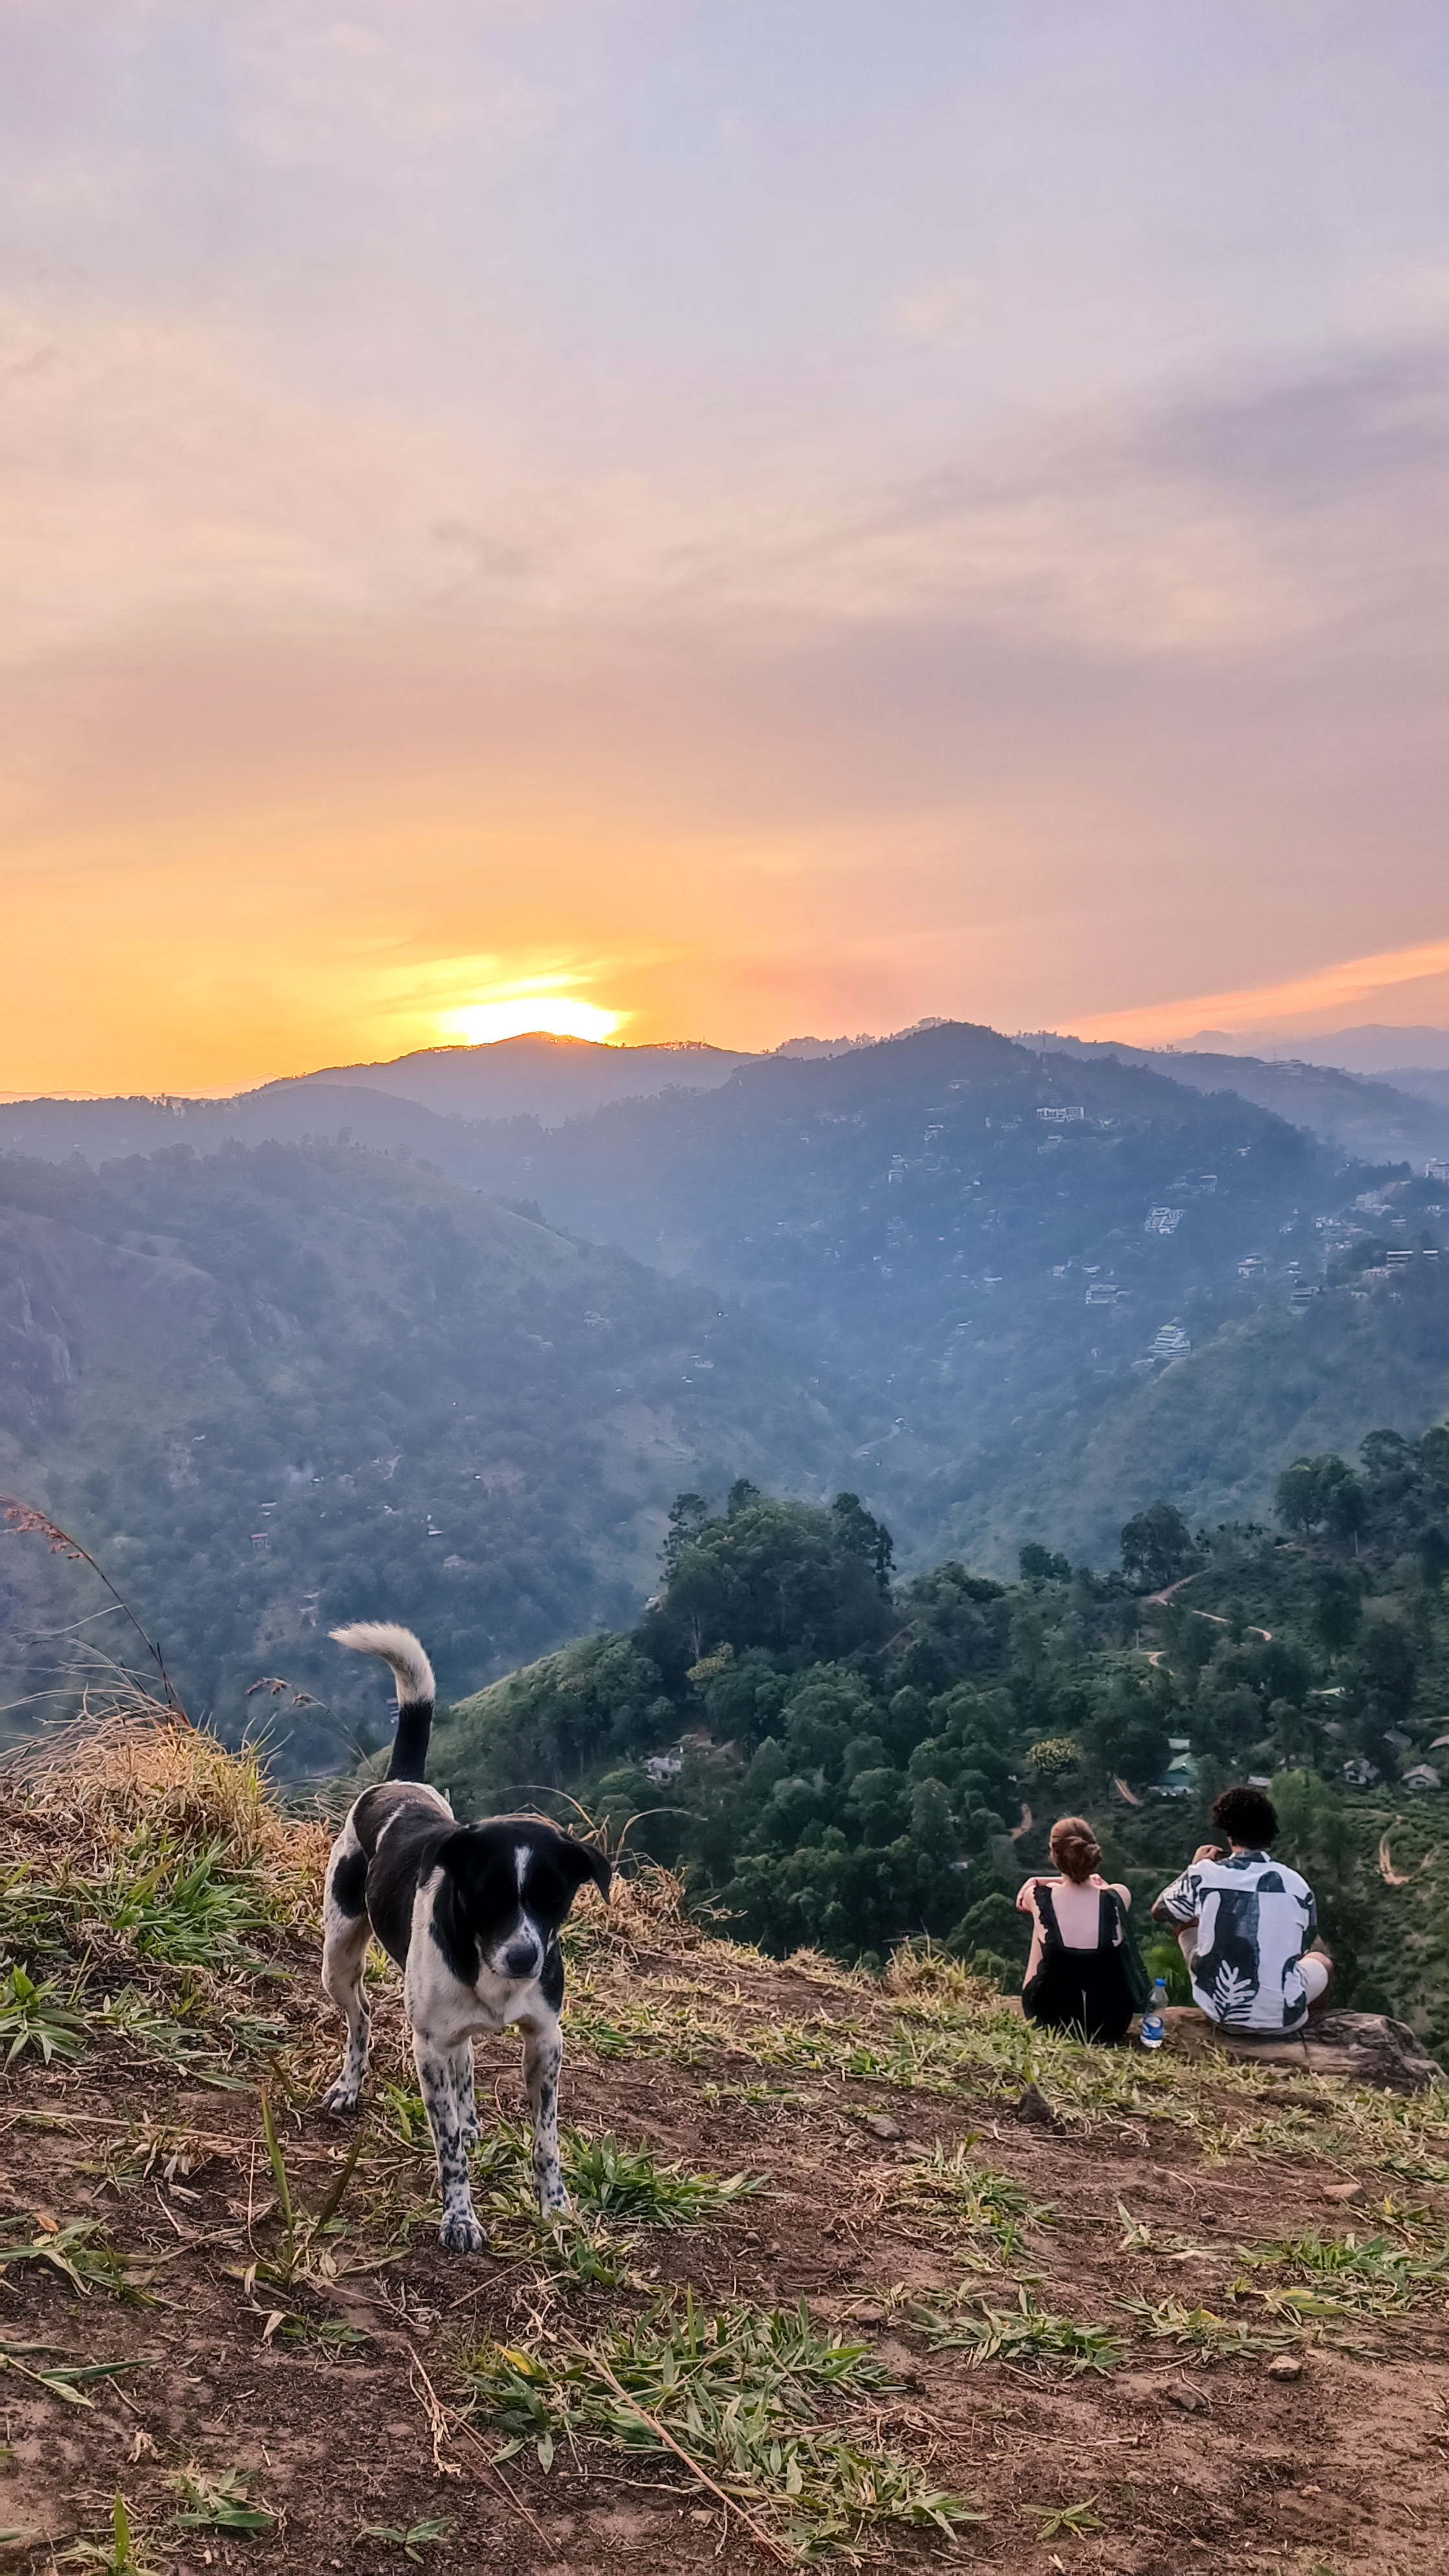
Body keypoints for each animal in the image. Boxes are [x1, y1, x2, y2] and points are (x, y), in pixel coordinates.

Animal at [318, 1628, 606, 2256]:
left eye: (553, 1897)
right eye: (486, 1896)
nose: (524, 1958)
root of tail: (397, 1782)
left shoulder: (546, 2040)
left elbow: (545, 2138)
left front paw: (554, 2208)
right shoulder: (428, 2048)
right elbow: (447, 2146)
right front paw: (459, 2217)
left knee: (465, 2060)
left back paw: (471, 2116)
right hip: (338, 1957)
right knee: (362, 2017)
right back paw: (350, 2085)